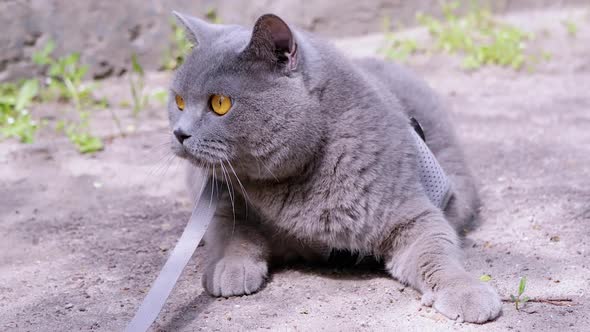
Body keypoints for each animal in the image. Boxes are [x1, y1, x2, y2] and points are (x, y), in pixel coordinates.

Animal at [168, 11, 504, 322]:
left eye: (220, 103)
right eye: (179, 101)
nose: (179, 133)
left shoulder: (412, 213)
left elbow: (437, 252)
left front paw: (467, 293)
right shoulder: (220, 197)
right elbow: (231, 230)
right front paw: (228, 269)